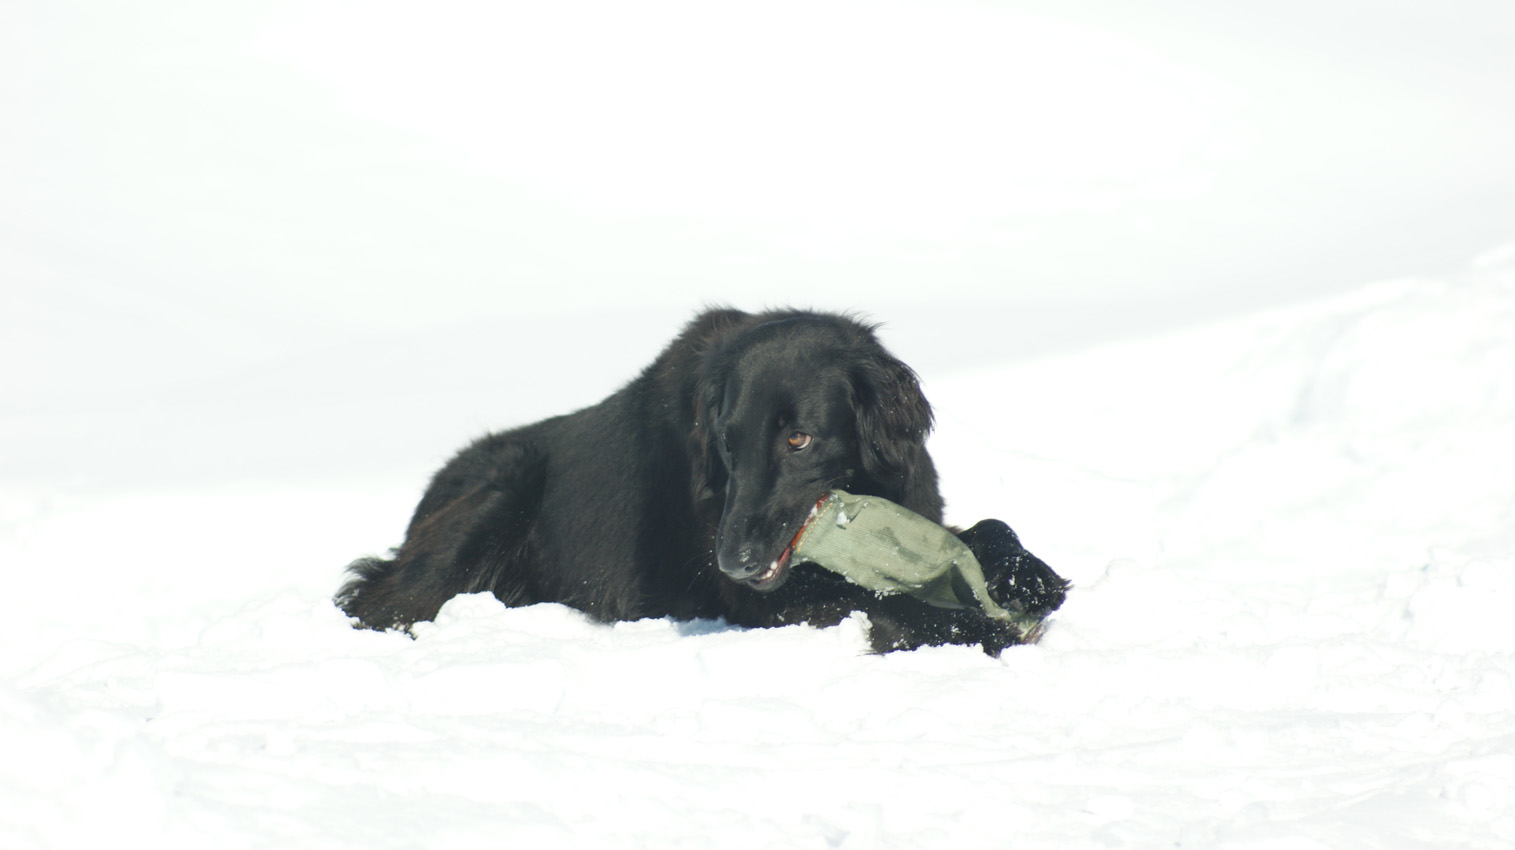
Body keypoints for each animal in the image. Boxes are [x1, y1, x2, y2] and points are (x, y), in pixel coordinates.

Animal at [337, 308, 1067, 653]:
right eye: (726, 443)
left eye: (798, 439)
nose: (732, 559)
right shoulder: (770, 601)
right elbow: (888, 602)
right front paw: (984, 629)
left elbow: (990, 527)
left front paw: (1028, 578)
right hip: (499, 488)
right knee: (380, 602)